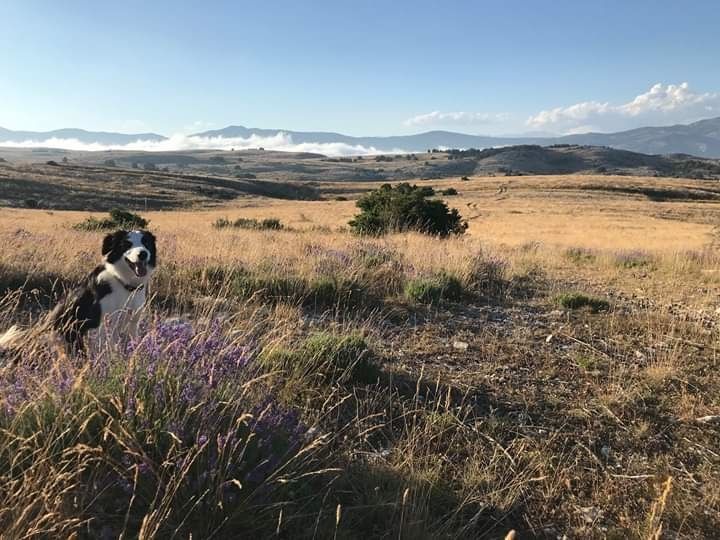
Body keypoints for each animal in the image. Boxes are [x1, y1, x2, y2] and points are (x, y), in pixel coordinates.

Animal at [0, 230, 157, 356]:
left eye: (146, 243)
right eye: (127, 244)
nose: (143, 254)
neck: (124, 283)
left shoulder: (133, 323)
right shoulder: (101, 326)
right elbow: (108, 349)